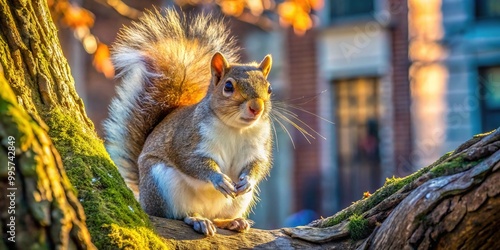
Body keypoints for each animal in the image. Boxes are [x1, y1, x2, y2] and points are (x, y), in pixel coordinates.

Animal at [102, 6, 274, 235]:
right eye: (228, 86)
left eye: (269, 89)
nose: (256, 107)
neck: (236, 128)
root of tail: (144, 201)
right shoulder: (187, 139)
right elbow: (191, 161)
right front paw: (219, 179)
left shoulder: (260, 145)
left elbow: (259, 164)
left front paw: (248, 180)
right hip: (162, 183)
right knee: (178, 215)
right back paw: (197, 220)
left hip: (238, 202)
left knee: (217, 217)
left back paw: (232, 221)